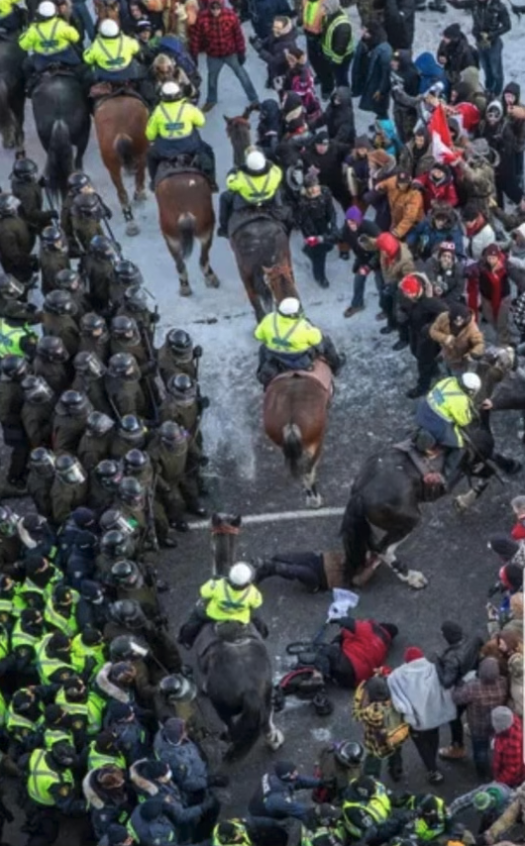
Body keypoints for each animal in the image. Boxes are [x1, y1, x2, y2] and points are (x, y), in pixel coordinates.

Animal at [92, 93, 147, 235]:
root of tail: (120, 131)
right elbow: (141, 175)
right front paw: (140, 194)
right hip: (141, 152)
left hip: (111, 165)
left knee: (121, 192)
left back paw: (130, 221)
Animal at [154, 170, 219, 298]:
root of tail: (184, 211)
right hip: (205, 230)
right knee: (202, 259)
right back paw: (209, 278)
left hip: (172, 238)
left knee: (182, 263)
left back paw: (185, 287)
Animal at [192, 512, 282, 764]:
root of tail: (250, 690)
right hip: (265, 699)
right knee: (266, 724)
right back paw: (274, 741)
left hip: (222, 707)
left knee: (232, 728)